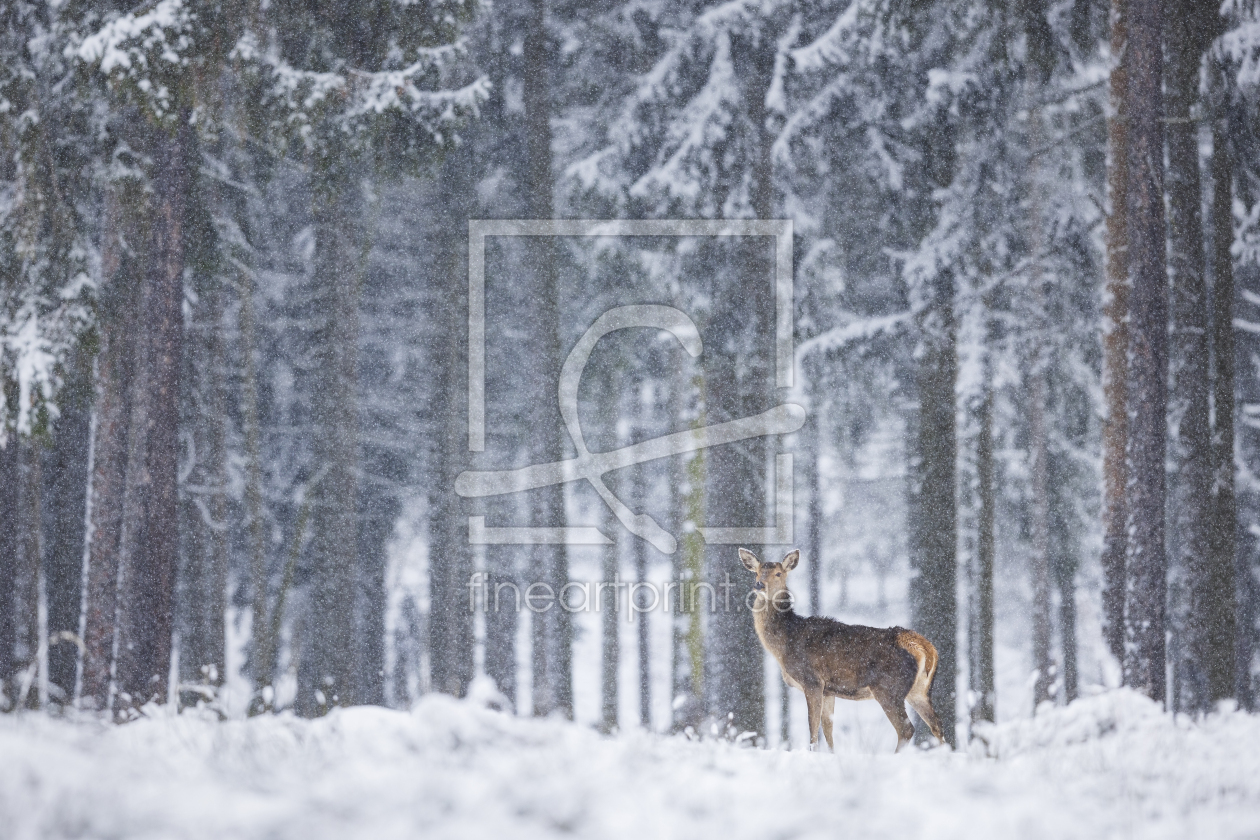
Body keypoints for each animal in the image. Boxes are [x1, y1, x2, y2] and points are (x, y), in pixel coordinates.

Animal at [735, 549, 947, 750]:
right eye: (757, 571)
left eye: (778, 573)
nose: (759, 585)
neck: (785, 644)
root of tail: (927, 649)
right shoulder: (829, 690)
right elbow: (828, 731)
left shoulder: (812, 680)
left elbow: (813, 730)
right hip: (919, 690)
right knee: (937, 724)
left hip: (888, 687)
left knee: (906, 729)